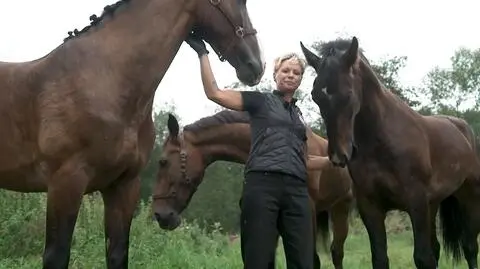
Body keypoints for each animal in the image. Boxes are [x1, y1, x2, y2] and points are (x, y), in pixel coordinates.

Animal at [0, 0, 262, 268]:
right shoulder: (65, 183)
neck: (106, 82)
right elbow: (57, 255)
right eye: (240, 2)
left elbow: (117, 254)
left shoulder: (124, 186)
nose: (255, 66)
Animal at [300, 36, 480, 268]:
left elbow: (423, 258)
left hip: (469, 197)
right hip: (434, 204)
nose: (339, 156)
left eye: (348, 94)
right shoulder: (371, 208)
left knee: (469, 246)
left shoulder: (416, 203)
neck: (381, 143)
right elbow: (380, 258)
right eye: (315, 96)